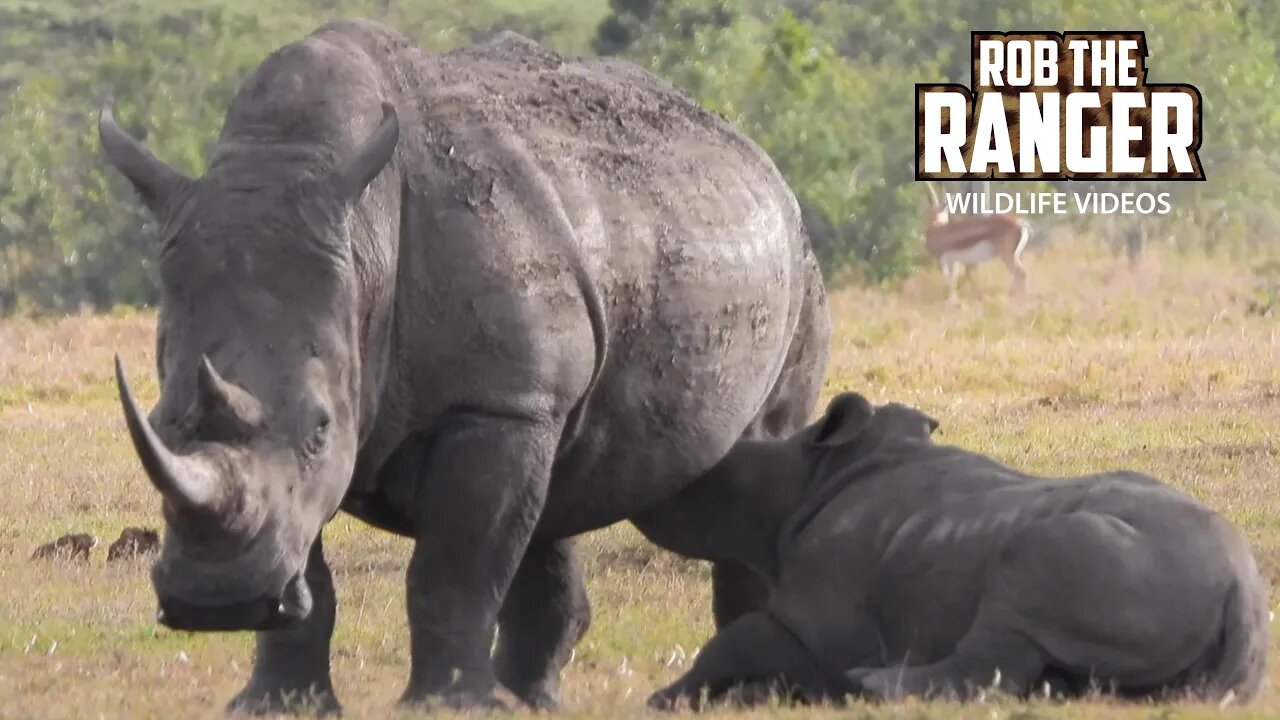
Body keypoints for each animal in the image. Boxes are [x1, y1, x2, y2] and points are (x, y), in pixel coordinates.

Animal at [104, 16, 834, 712]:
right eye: (160, 425)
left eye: (320, 428)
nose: (215, 601)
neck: (363, 248)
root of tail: (749, 149)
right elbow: (307, 562)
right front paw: (277, 706)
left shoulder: (495, 404)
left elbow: (453, 570)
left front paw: (444, 705)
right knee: (552, 492)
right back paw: (528, 701)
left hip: (796, 269)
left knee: (756, 450)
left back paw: (740, 693)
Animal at [645, 389, 1264, 702]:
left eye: (714, 488)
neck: (807, 481)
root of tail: (1239, 585)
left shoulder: (820, 617)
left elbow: (736, 640)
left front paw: (667, 699)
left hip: (1120, 558)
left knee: (1019, 584)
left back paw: (873, 686)